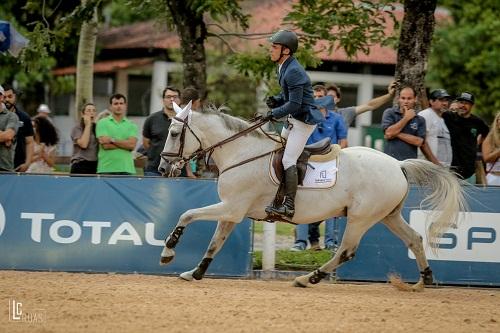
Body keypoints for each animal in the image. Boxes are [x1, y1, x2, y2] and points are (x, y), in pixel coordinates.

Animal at [158, 104, 466, 288]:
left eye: (173, 132)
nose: (162, 168)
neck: (241, 152)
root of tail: (398, 165)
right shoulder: (232, 211)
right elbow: (214, 243)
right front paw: (196, 273)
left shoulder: (232, 208)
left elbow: (187, 214)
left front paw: (168, 251)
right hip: (388, 216)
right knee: (414, 239)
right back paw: (424, 280)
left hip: (361, 218)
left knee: (346, 251)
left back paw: (309, 278)